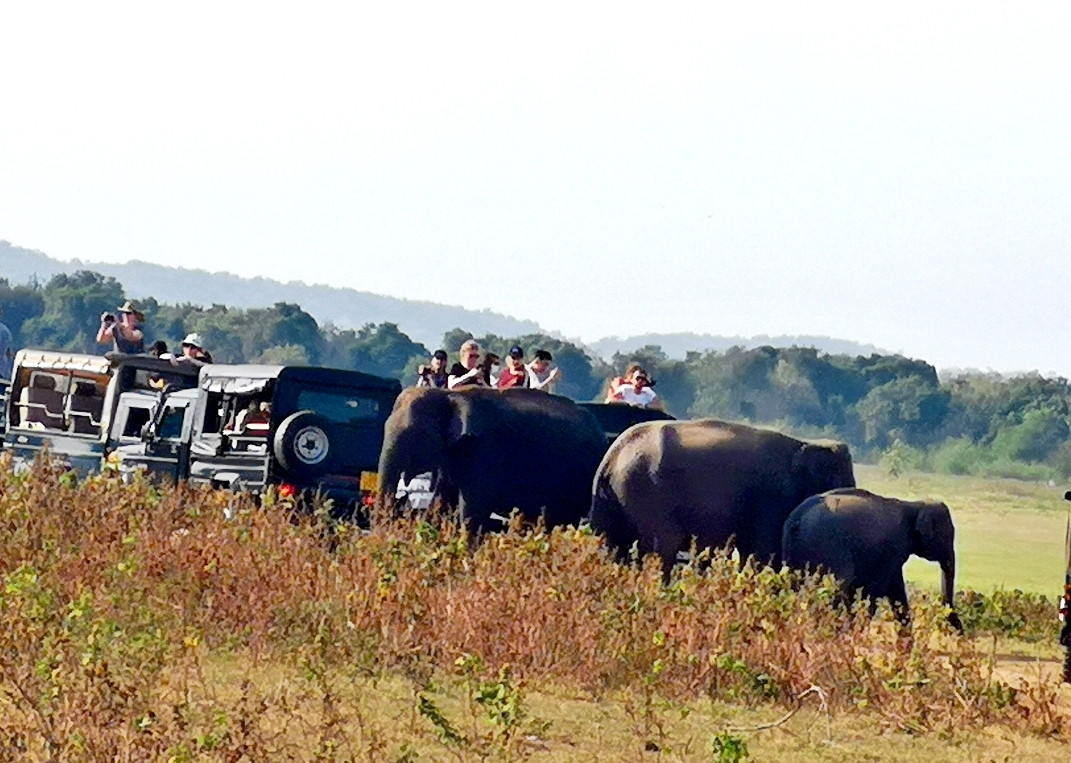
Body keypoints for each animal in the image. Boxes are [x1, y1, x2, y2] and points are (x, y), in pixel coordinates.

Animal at [586, 417, 852, 578]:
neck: (805, 444)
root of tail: (611, 459)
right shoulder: (771, 499)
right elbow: (766, 553)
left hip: (615, 498)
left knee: (614, 543)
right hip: (647, 492)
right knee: (663, 545)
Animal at [779, 490, 963, 630]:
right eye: (947, 537)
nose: (959, 629)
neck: (914, 505)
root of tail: (796, 520)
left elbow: (896, 589)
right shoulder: (893, 547)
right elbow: (878, 588)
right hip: (827, 546)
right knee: (840, 584)